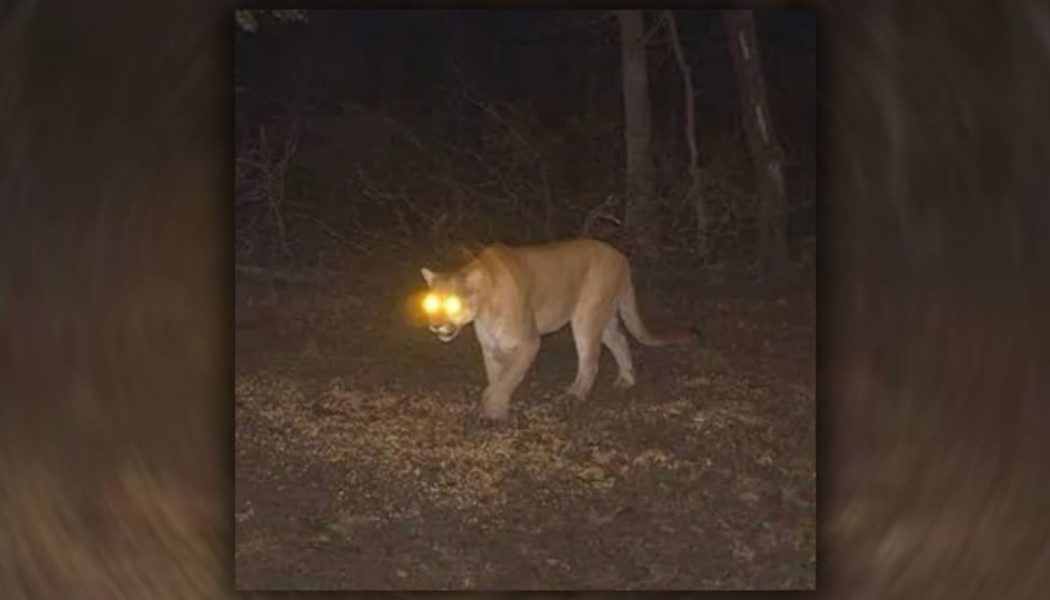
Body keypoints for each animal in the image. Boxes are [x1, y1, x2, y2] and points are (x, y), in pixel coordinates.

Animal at [420, 238, 696, 420]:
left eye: (452, 304)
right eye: (431, 303)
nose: (435, 325)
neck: (485, 307)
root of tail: (620, 256)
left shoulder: (529, 343)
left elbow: (507, 378)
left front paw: (492, 407)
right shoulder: (491, 346)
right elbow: (497, 377)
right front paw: (497, 408)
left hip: (586, 316)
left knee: (590, 360)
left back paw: (574, 395)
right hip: (603, 316)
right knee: (619, 339)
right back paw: (626, 378)